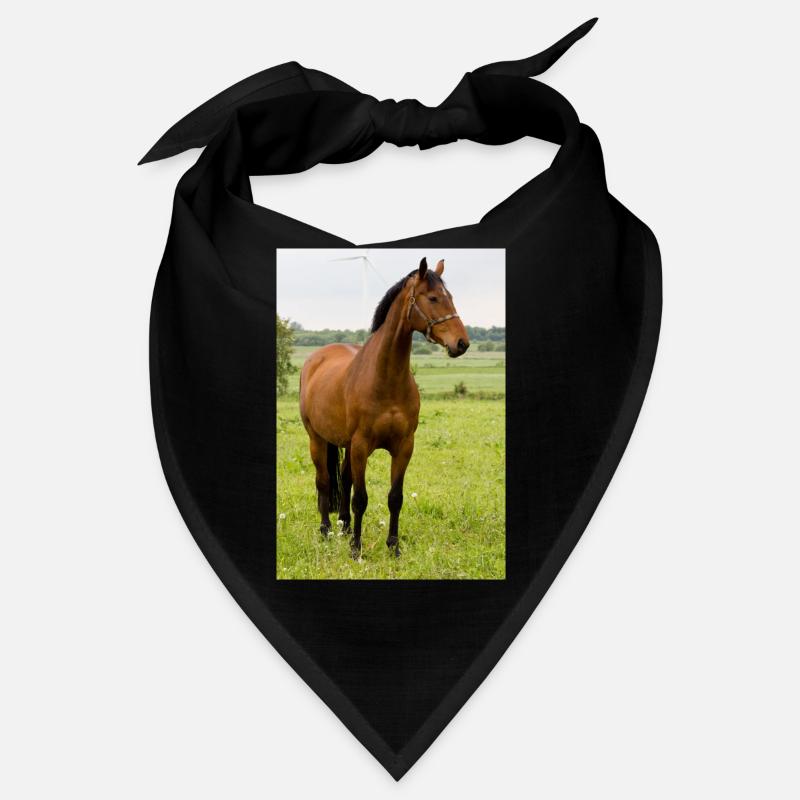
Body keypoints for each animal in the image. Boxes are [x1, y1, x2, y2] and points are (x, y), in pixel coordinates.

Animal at [299, 257, 470, 557]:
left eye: (450, 297)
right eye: (433, 298)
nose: (461, 343)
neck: (386, 380)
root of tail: (316, 358)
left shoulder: (404, 446)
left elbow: (395, 497)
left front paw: (393, 547)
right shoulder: (361, 445)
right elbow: (361, 498)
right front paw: (356, 549)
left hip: (345, 445)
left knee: (344, 480)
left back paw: (344, 527)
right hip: (317, 439)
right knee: (324, 481)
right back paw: (326, 530)